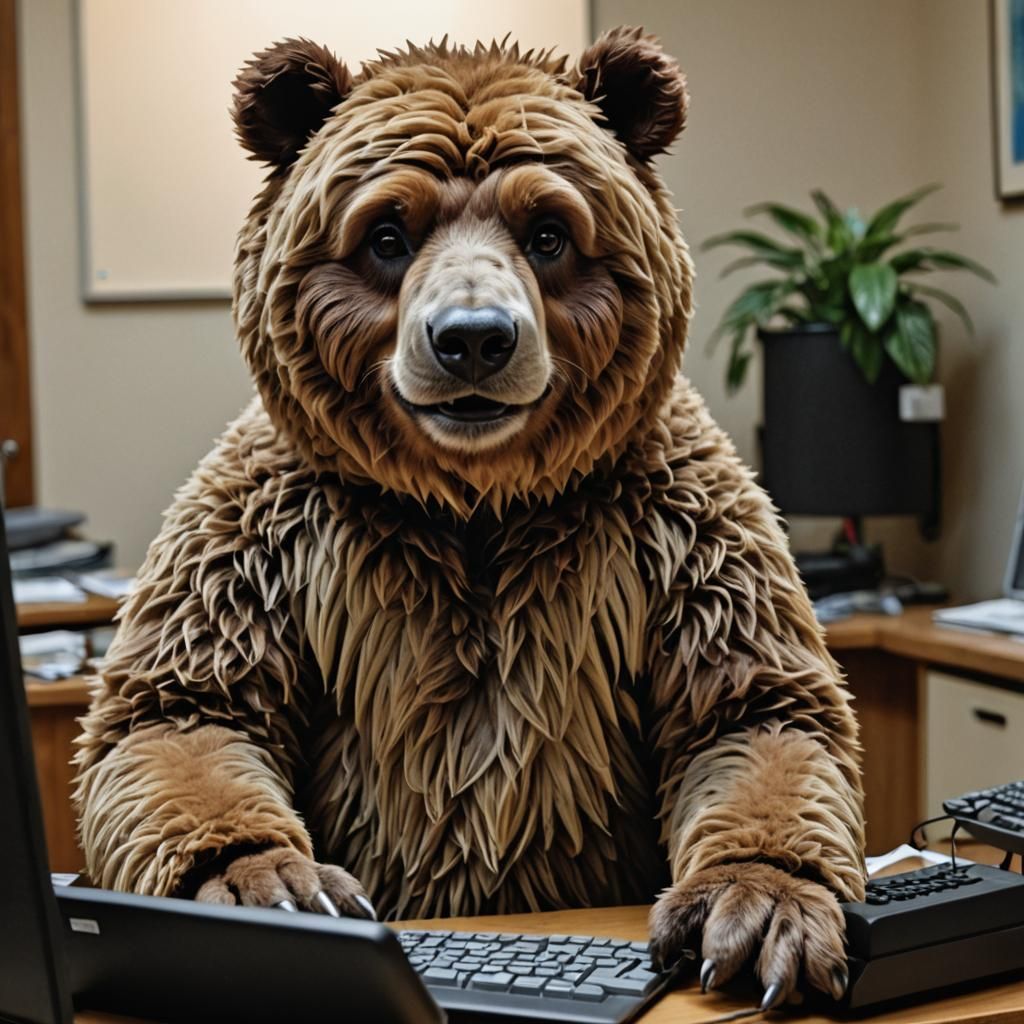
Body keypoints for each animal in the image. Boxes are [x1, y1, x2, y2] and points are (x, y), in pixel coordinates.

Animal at [74, 28, 865, 1007]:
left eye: (549, 232)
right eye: (386, 234)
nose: (475, 338)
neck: (475, 497)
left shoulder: (677, 523)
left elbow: (754, 708)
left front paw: (758, 907)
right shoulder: (269, 530)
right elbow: (181, 711)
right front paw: (269, 884)